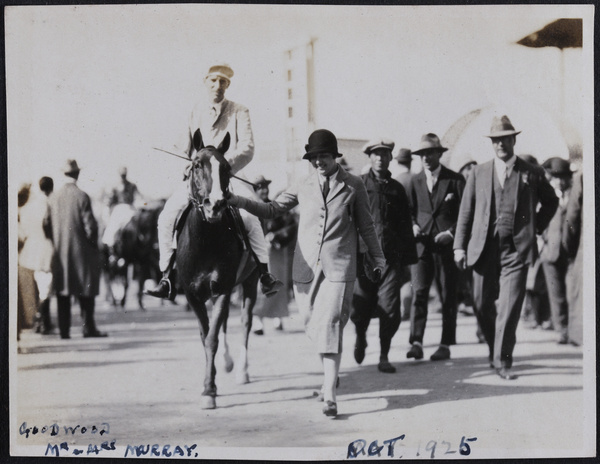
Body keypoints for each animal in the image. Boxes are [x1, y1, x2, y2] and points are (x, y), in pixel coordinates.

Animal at [175, 131, 256, 410]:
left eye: (227, 168)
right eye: (196, 164)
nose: (216, 205)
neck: (206, 240)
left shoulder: (222, 289)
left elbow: (211, 338)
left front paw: (209, 390)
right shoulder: (193, 294)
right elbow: (205, 335)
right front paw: (210, 383)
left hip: (250, 283)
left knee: (245, 322)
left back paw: (241, 370)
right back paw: (227, 363)